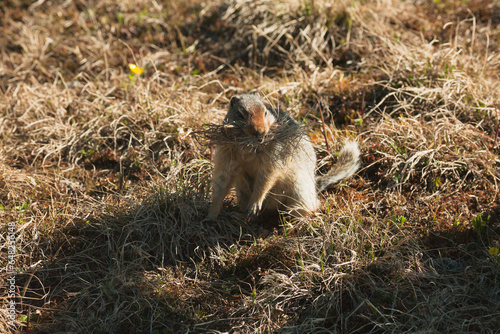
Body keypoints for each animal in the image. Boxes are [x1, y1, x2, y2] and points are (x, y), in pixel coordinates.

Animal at [205, 92, 362, 220]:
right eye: (239, 114)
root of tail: (314, 185)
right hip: (242, 193)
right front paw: (210, 216)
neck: (248, 147)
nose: (260, 132)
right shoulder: (226, 155)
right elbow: (221, 183)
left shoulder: (274, 157)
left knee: (311, 207)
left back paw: (295, 221)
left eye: (265, 112)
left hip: (299, 191)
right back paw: (239, 215)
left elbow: (265, 179)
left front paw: (255, 204)